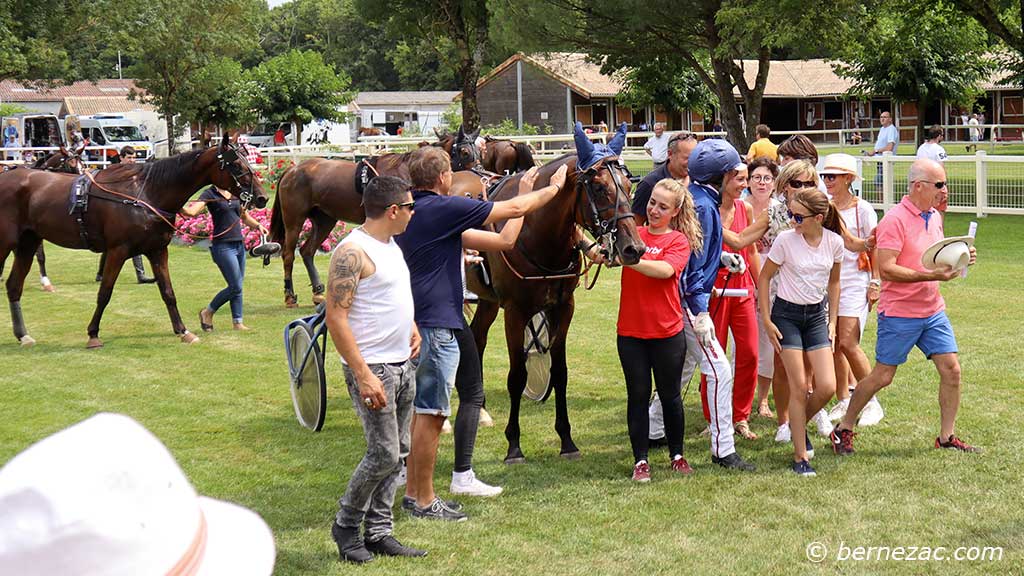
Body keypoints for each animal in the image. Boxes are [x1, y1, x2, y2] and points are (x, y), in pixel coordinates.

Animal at [1, 135, 264, 344]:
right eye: (236, 164)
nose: (261, 197)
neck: (145, 195)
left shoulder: (158, 250)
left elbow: (168, 292)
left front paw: (183, 331)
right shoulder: (118, 250)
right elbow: (105, 292)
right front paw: (93, 334)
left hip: (27, 242)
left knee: (13, 286)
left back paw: (23, 335)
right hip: (7, 243)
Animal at [268, 137, 483, 307]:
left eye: (479, 150)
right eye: (464, 152)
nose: (480, 173)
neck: (406, 173)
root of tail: (292, 169)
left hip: (325, 220)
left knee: (307, 251)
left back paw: (318, 292)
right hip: (294, 220)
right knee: (289, 255)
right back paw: (290, 296)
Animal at [468, 125, 643, 461]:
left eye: (629, 185)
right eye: (598, 188)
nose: (633, 248)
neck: (533, 229)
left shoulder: (562, 307)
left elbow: (560, 372)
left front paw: (566, 440)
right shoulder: (515, 311)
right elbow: (516, 376)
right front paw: (514, 445)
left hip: (487, 300)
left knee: (477, 337)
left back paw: (479, 408)